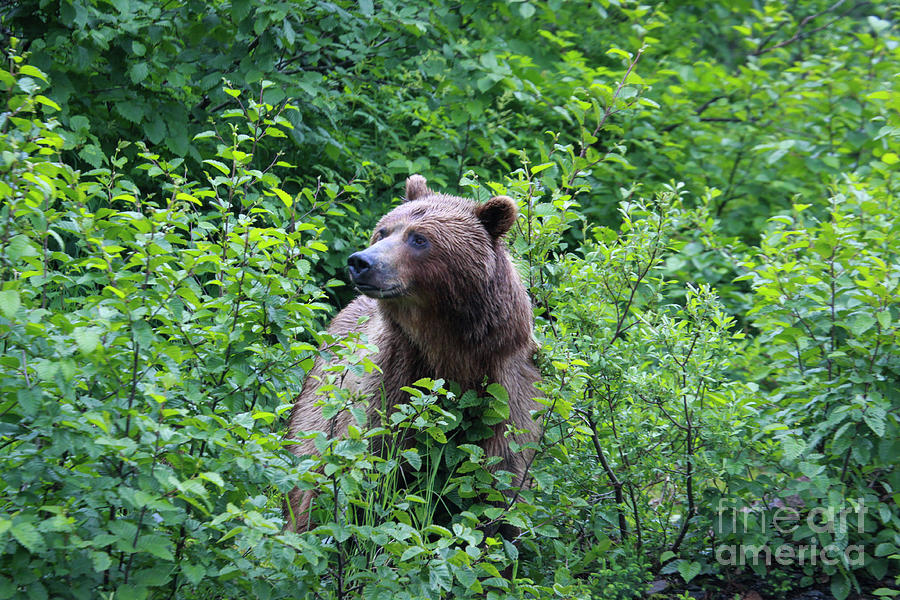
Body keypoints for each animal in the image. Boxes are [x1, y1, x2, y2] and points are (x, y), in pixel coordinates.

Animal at [286, 176, 540, 532]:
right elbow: (371, 472)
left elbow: (497, 493)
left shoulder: (505, 395)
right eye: (383, 231)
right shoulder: (394, 382)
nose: (361, 262)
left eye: (419, 238)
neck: (448, 348)